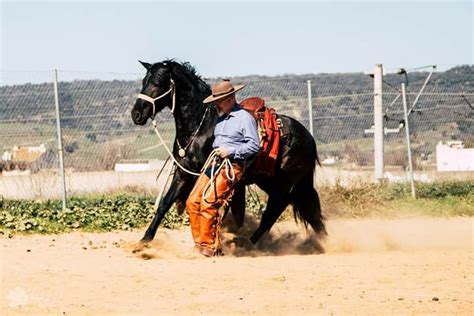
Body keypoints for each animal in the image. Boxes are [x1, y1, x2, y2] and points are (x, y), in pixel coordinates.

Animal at [130, 60, 326, 246]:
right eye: (144, 81)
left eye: (157, 83)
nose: (136, 114)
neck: (201, 125)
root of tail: (309, 138)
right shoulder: (183, 173)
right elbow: (165, 204)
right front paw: (145, 240)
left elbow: (215, 210)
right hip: (271, 181)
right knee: (302, 206)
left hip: (283, 183)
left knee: (275, 210)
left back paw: (248, 244)